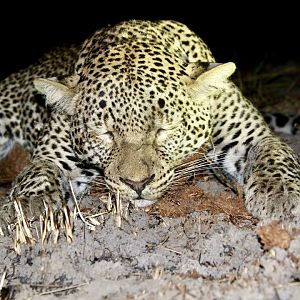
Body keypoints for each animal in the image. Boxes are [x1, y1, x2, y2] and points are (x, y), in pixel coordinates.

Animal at [0, 19, 300, 234]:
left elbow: (274, 153)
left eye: (163, 130)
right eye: (106, 134)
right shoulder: (54, 156)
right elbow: (38, 171)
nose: (137, 184)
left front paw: (282, 194)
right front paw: (27, 207)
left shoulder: (251, 137)